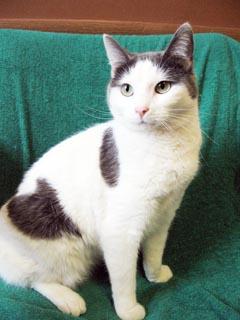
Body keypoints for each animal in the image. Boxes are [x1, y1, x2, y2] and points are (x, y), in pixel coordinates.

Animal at [0, 23, 201, 320]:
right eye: (127, 90)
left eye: (162, 87)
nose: (141, 109)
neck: (162, 145)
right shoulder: (119, 228)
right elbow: (124, 276)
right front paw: (128, 309)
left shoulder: (166, 211)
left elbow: (155, 249)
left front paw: (154, 274)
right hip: (59, 242)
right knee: (32, 277)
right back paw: (69, 300)